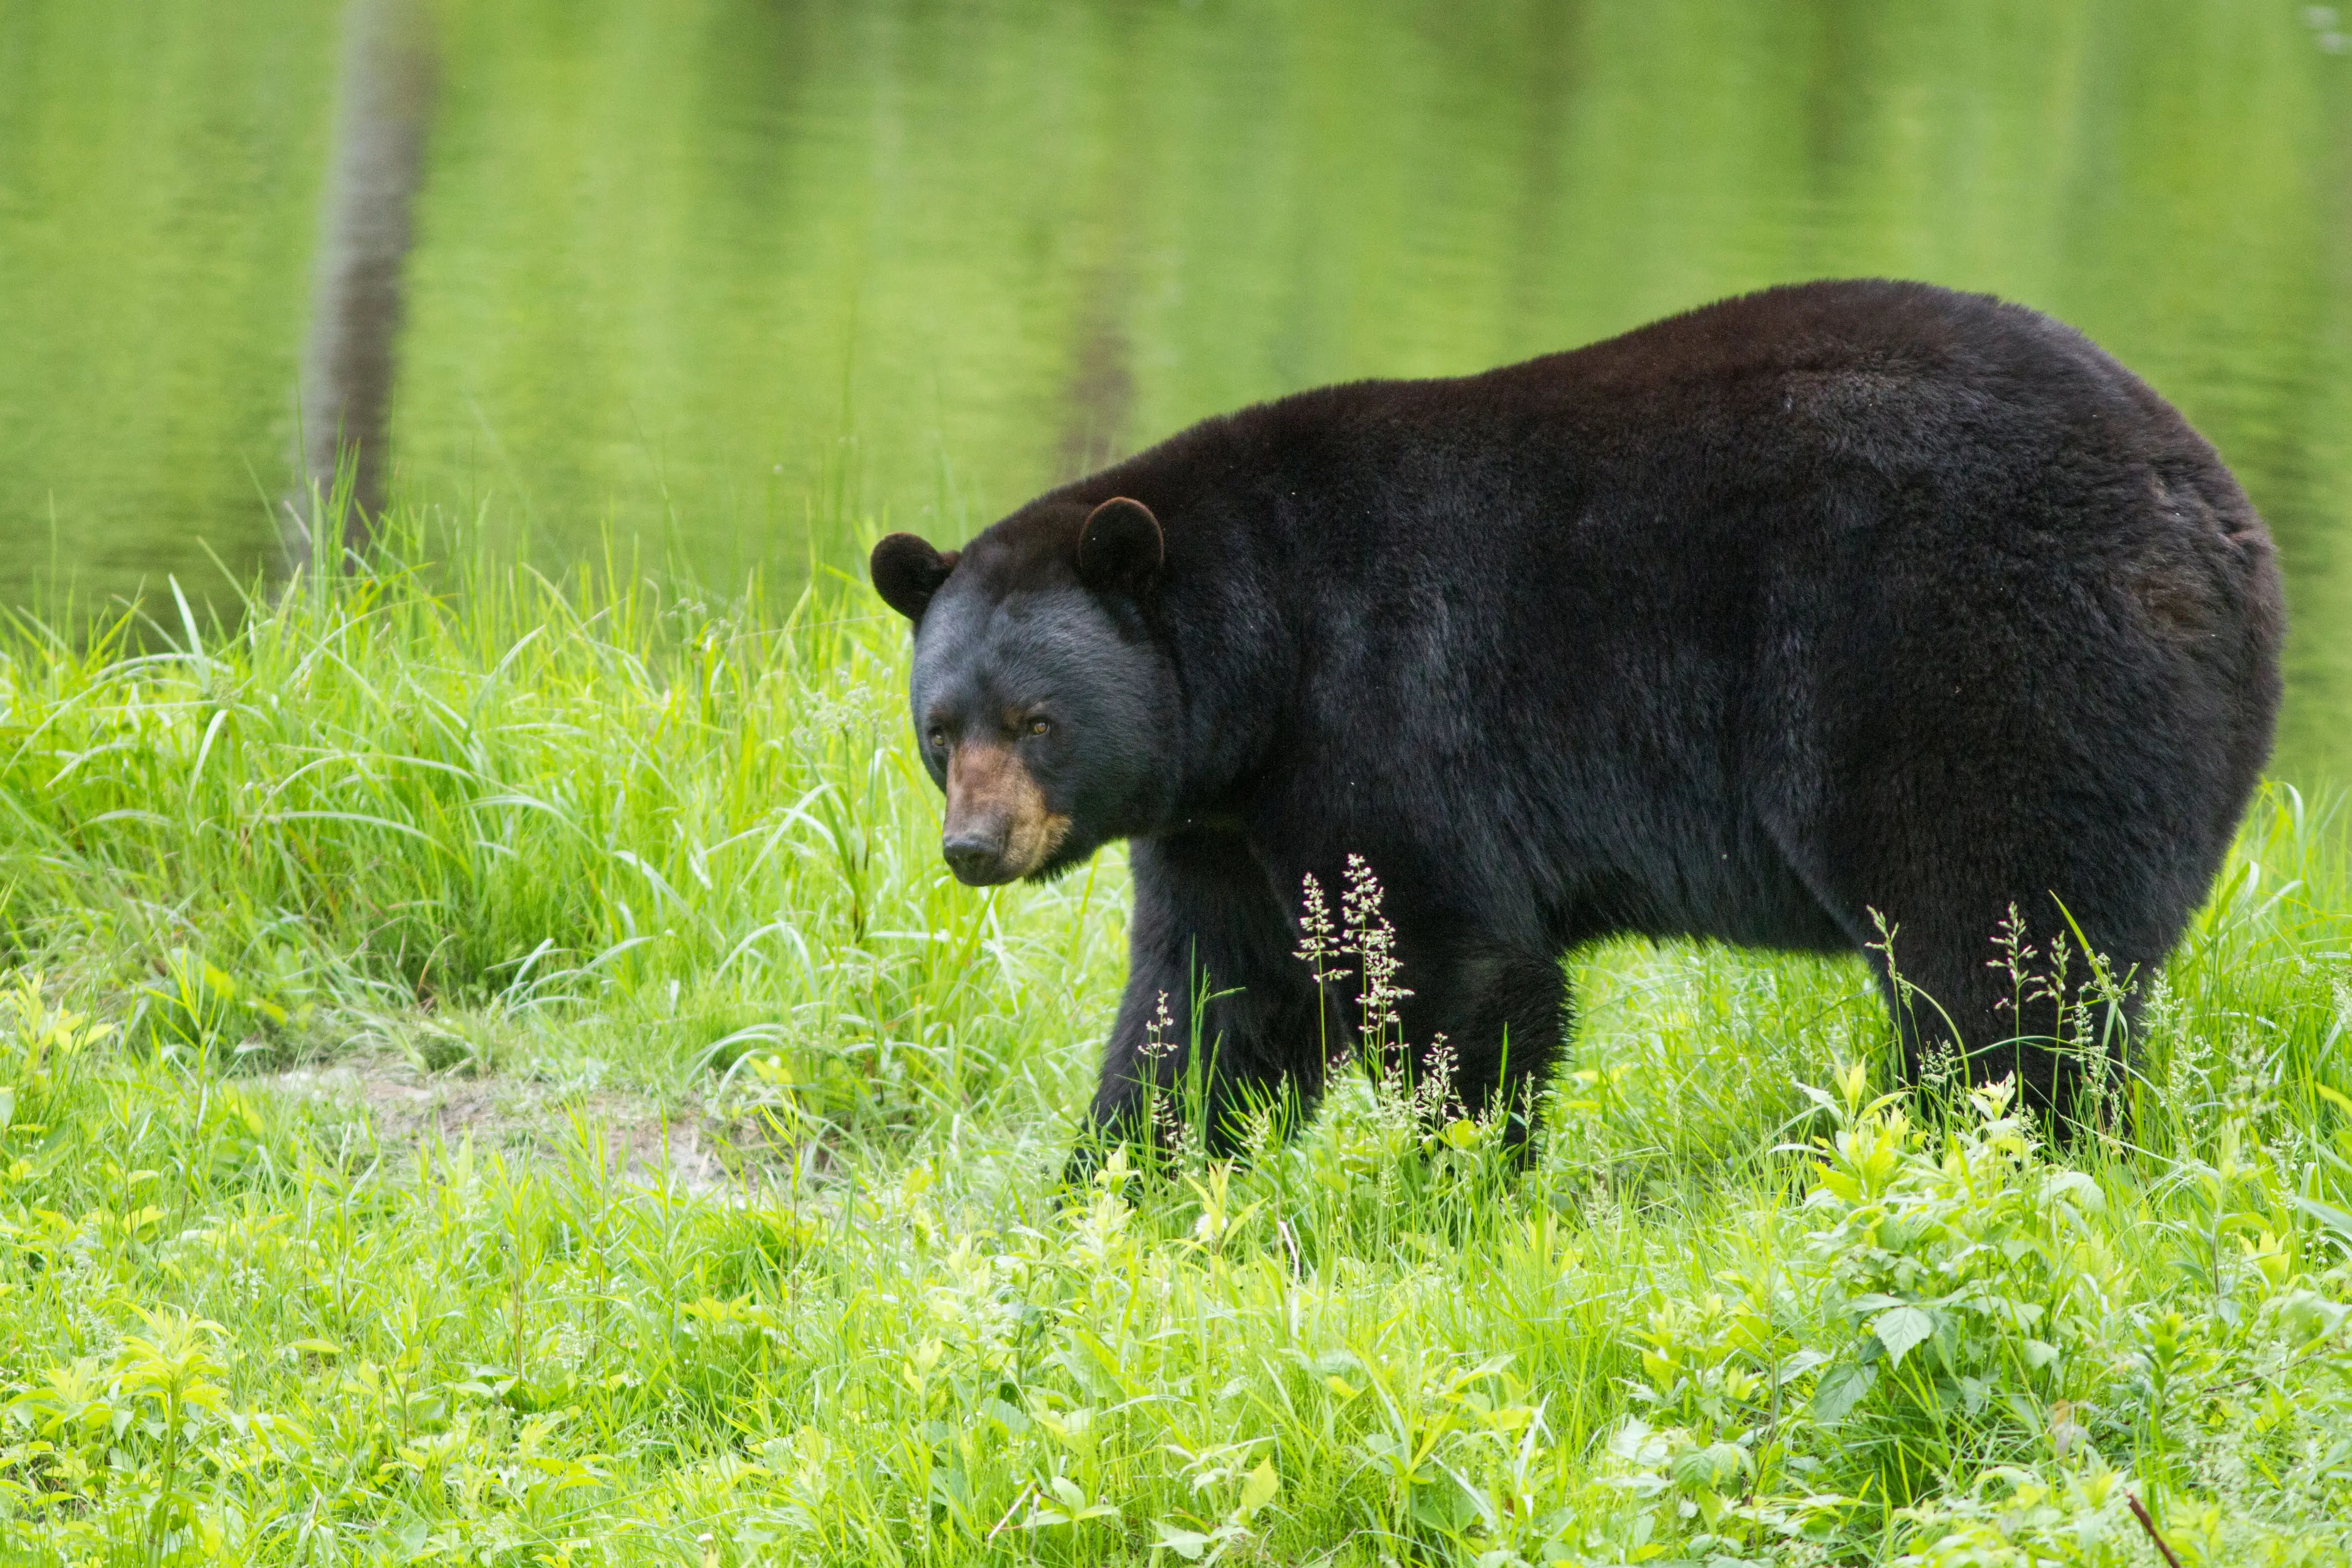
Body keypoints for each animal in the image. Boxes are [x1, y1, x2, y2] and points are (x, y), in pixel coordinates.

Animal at [870, 278, 2283, 1167]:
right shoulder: (1226, 816)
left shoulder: (1384, 706)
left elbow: (1456, 962)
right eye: (941, 729)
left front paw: (1452, 1183)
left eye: (1038, 721)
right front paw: (1118, 1184)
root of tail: (2222, 521)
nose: (974, 848)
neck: (1260, 655)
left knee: (2000, 954)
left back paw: (1998, 1151)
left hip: (1984, 673)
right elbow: (1210, 1000)